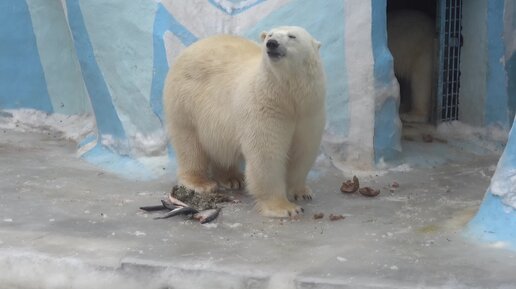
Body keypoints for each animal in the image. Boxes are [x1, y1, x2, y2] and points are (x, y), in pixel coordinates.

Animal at [164, 26, 326, 216]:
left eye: (292, 36)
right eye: (270, 35)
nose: (272, 44)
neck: (287, 97)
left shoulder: (309, 112)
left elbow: (303, 151)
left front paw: (302, 192)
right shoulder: (263, 106)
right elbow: (266, 154)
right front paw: (284, 208)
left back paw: (233, 178)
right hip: (185, 100)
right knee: (189, 143)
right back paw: (200, 182)